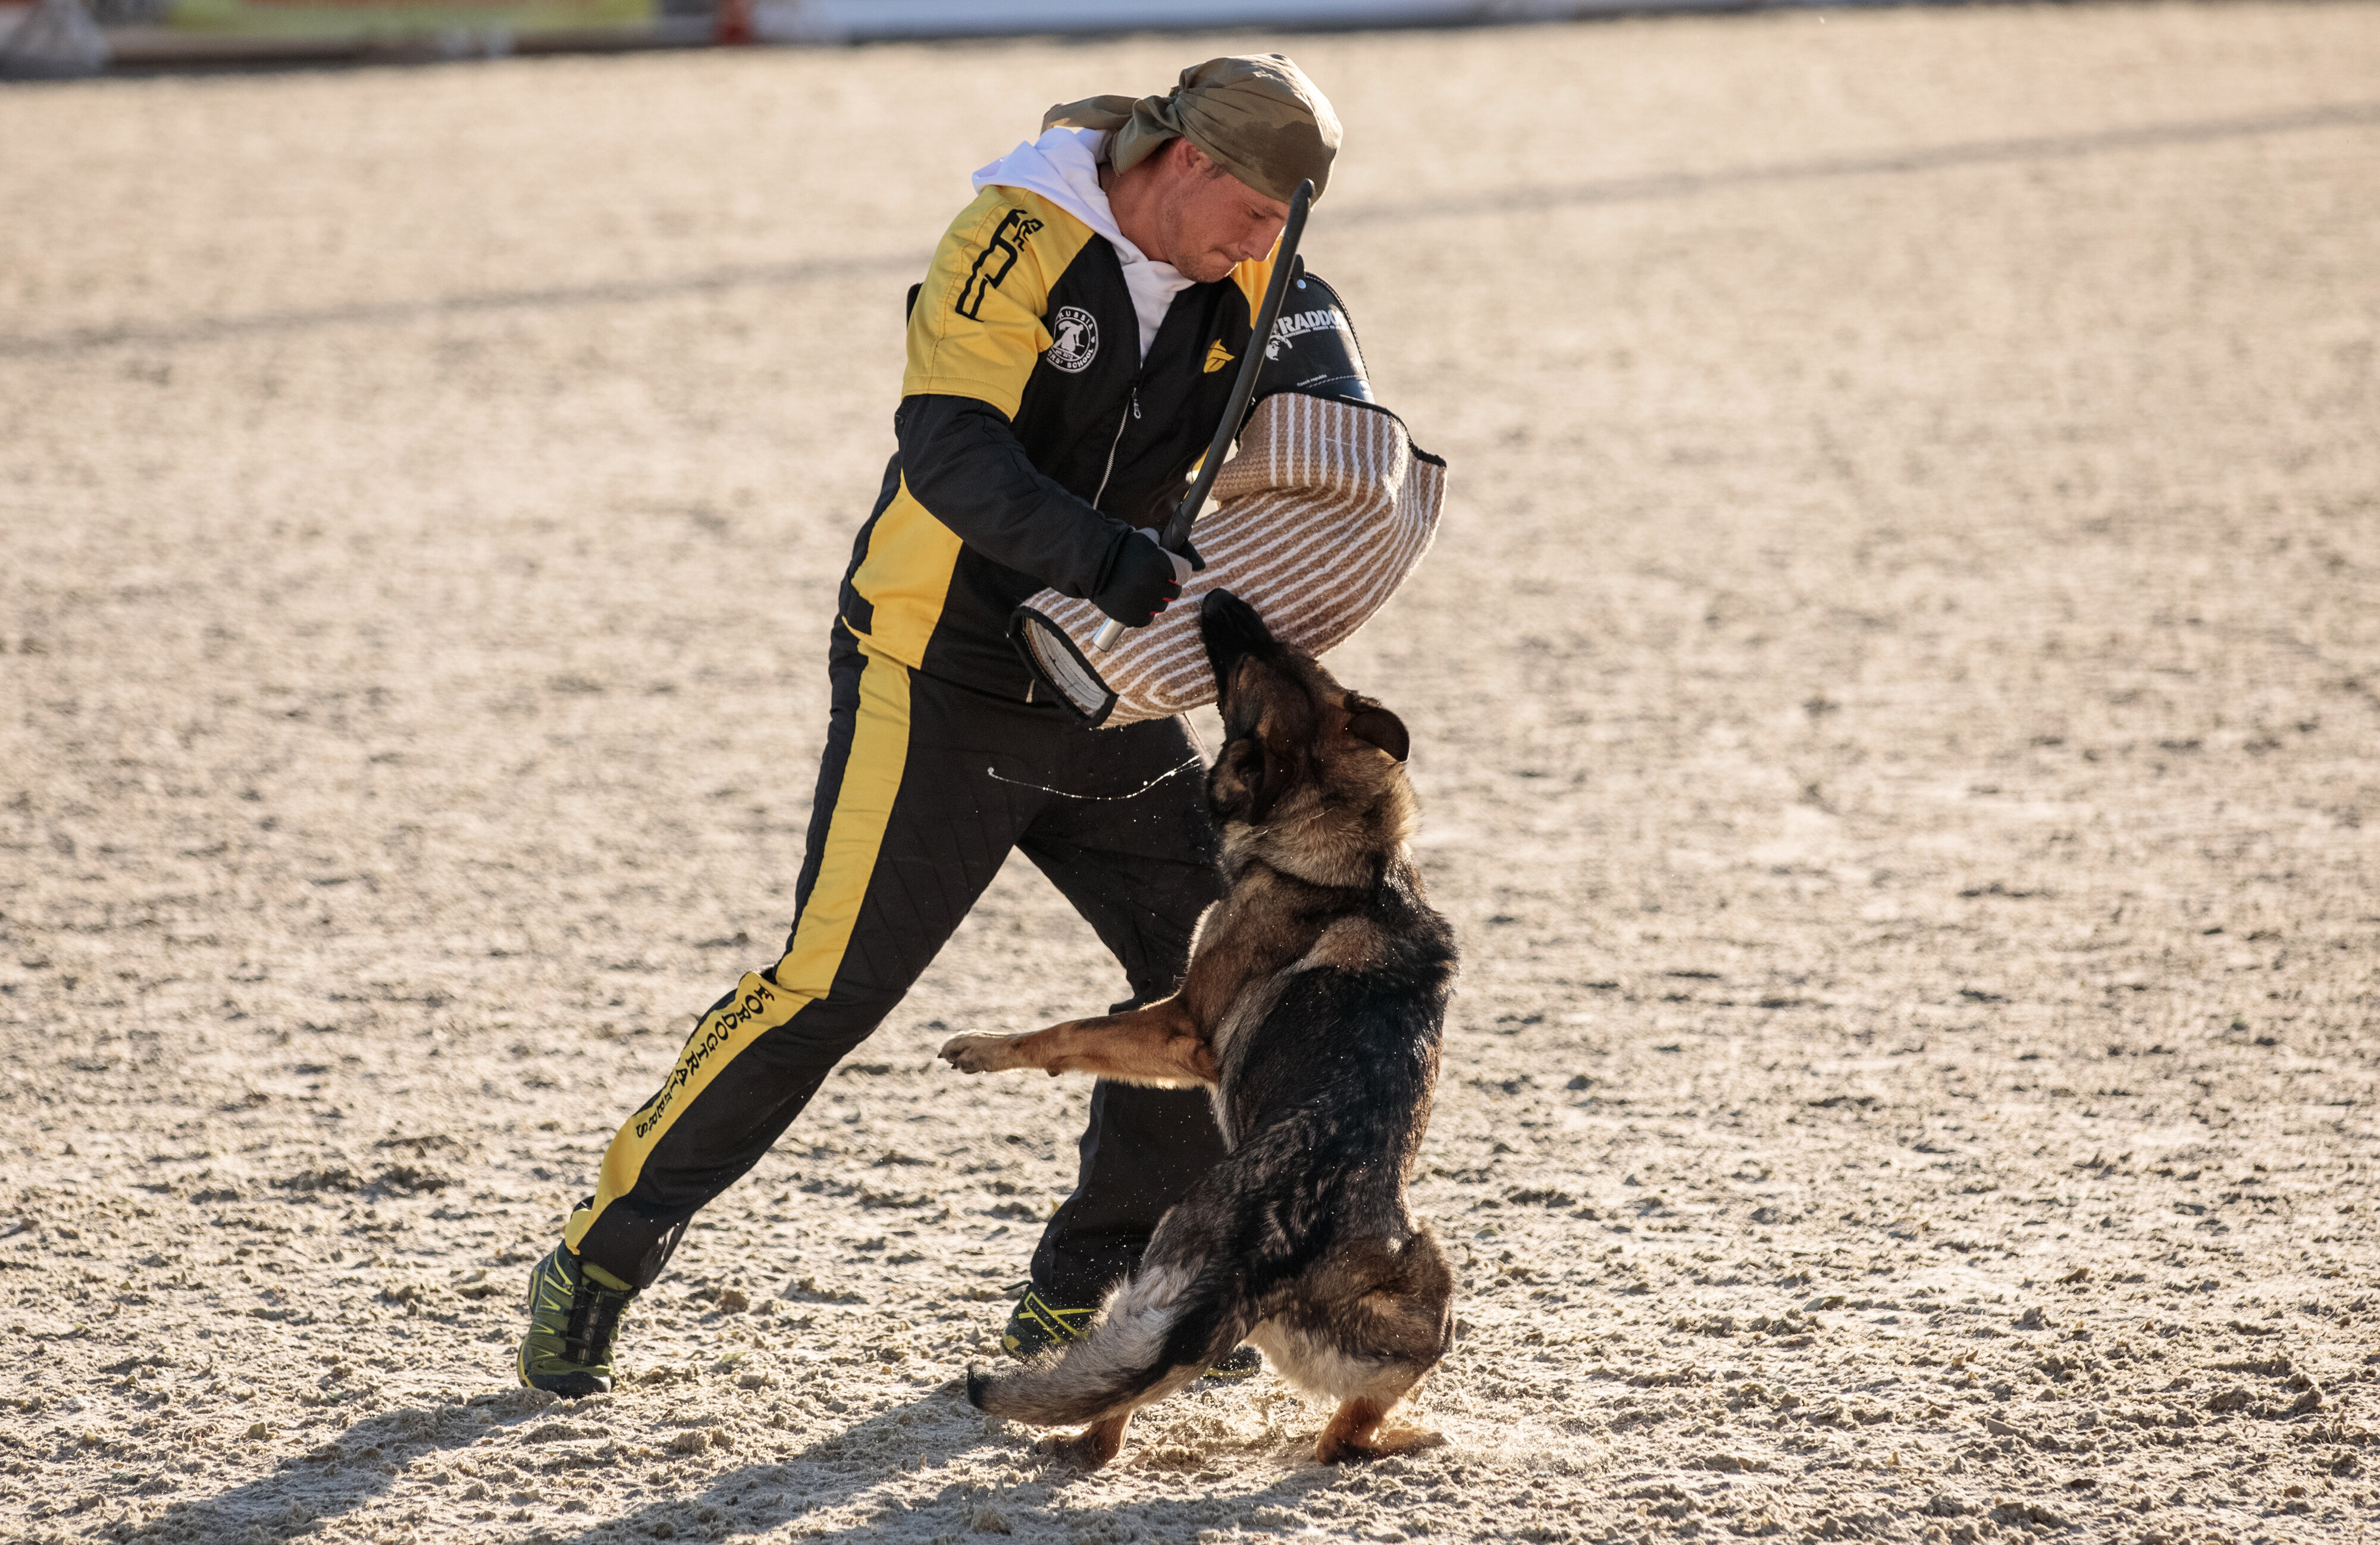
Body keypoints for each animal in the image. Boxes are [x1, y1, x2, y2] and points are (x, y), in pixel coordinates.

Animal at [938, 585, 1457, 1466]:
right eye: (1284, 653)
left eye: (1247, 664)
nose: (1218, 596)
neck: (1353, 857)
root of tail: (1261, 1261)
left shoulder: (1183, 1029)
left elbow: (1066, 1032)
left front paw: (983, 1047)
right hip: (1432, 1301)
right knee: (1341, 1437)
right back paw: (1400, 1436)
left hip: (1151, 1294)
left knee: (1111, 1421)